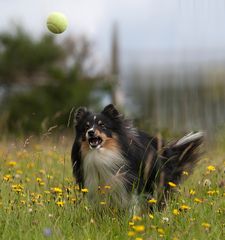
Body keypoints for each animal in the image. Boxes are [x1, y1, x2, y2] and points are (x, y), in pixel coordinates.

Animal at [71, 104, 204, 209]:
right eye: (86, 126)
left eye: (102, 125)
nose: (91, 132)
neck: (101, 154)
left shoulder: (131, 182)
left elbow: (133, 202)